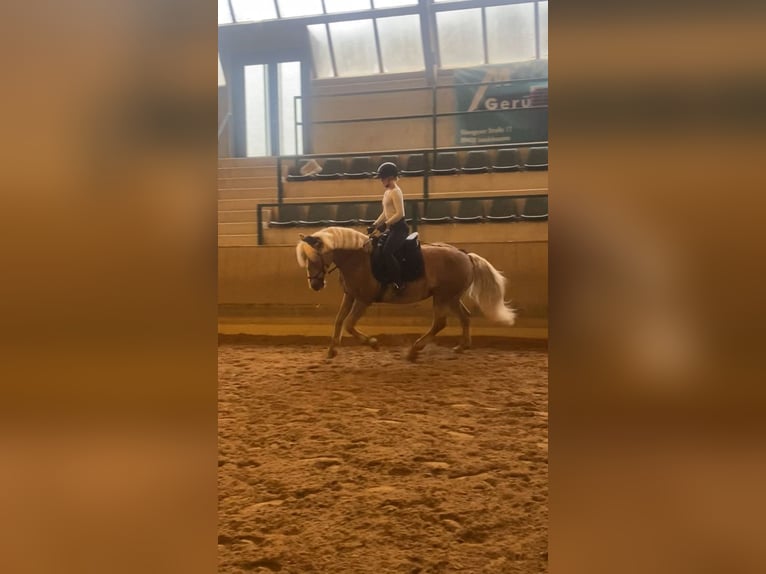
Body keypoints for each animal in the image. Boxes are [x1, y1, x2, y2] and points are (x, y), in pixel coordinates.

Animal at [296, 227, 520, 362]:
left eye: (314, 258)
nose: (315, 285)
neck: (357, 259)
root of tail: (465, 255)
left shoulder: (363, 300)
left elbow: (349, 324)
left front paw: (373, 344)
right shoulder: (350, 296)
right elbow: (338, 320)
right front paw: (332, 350)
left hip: (443, 297)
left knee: (440, 323)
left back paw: (415, 350)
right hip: (451, 297)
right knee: (464, 317)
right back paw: (461, 347)